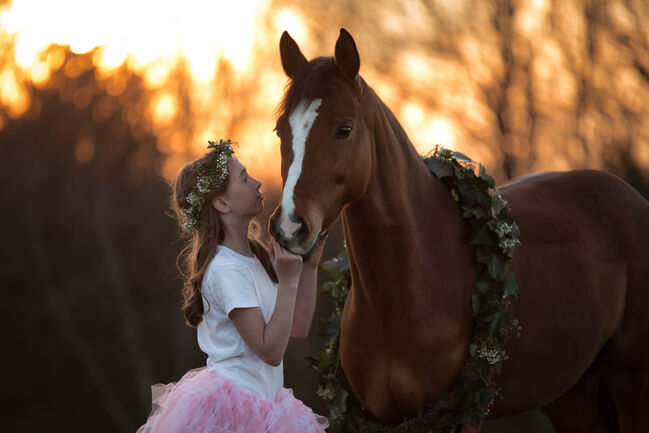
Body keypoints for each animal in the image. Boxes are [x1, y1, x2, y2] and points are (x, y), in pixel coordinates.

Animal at [266, 27, 644, 432]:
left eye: (344, 129)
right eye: (280, 131)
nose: (290, 226)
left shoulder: (459, 415)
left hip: (631, 384)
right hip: (569, 393)